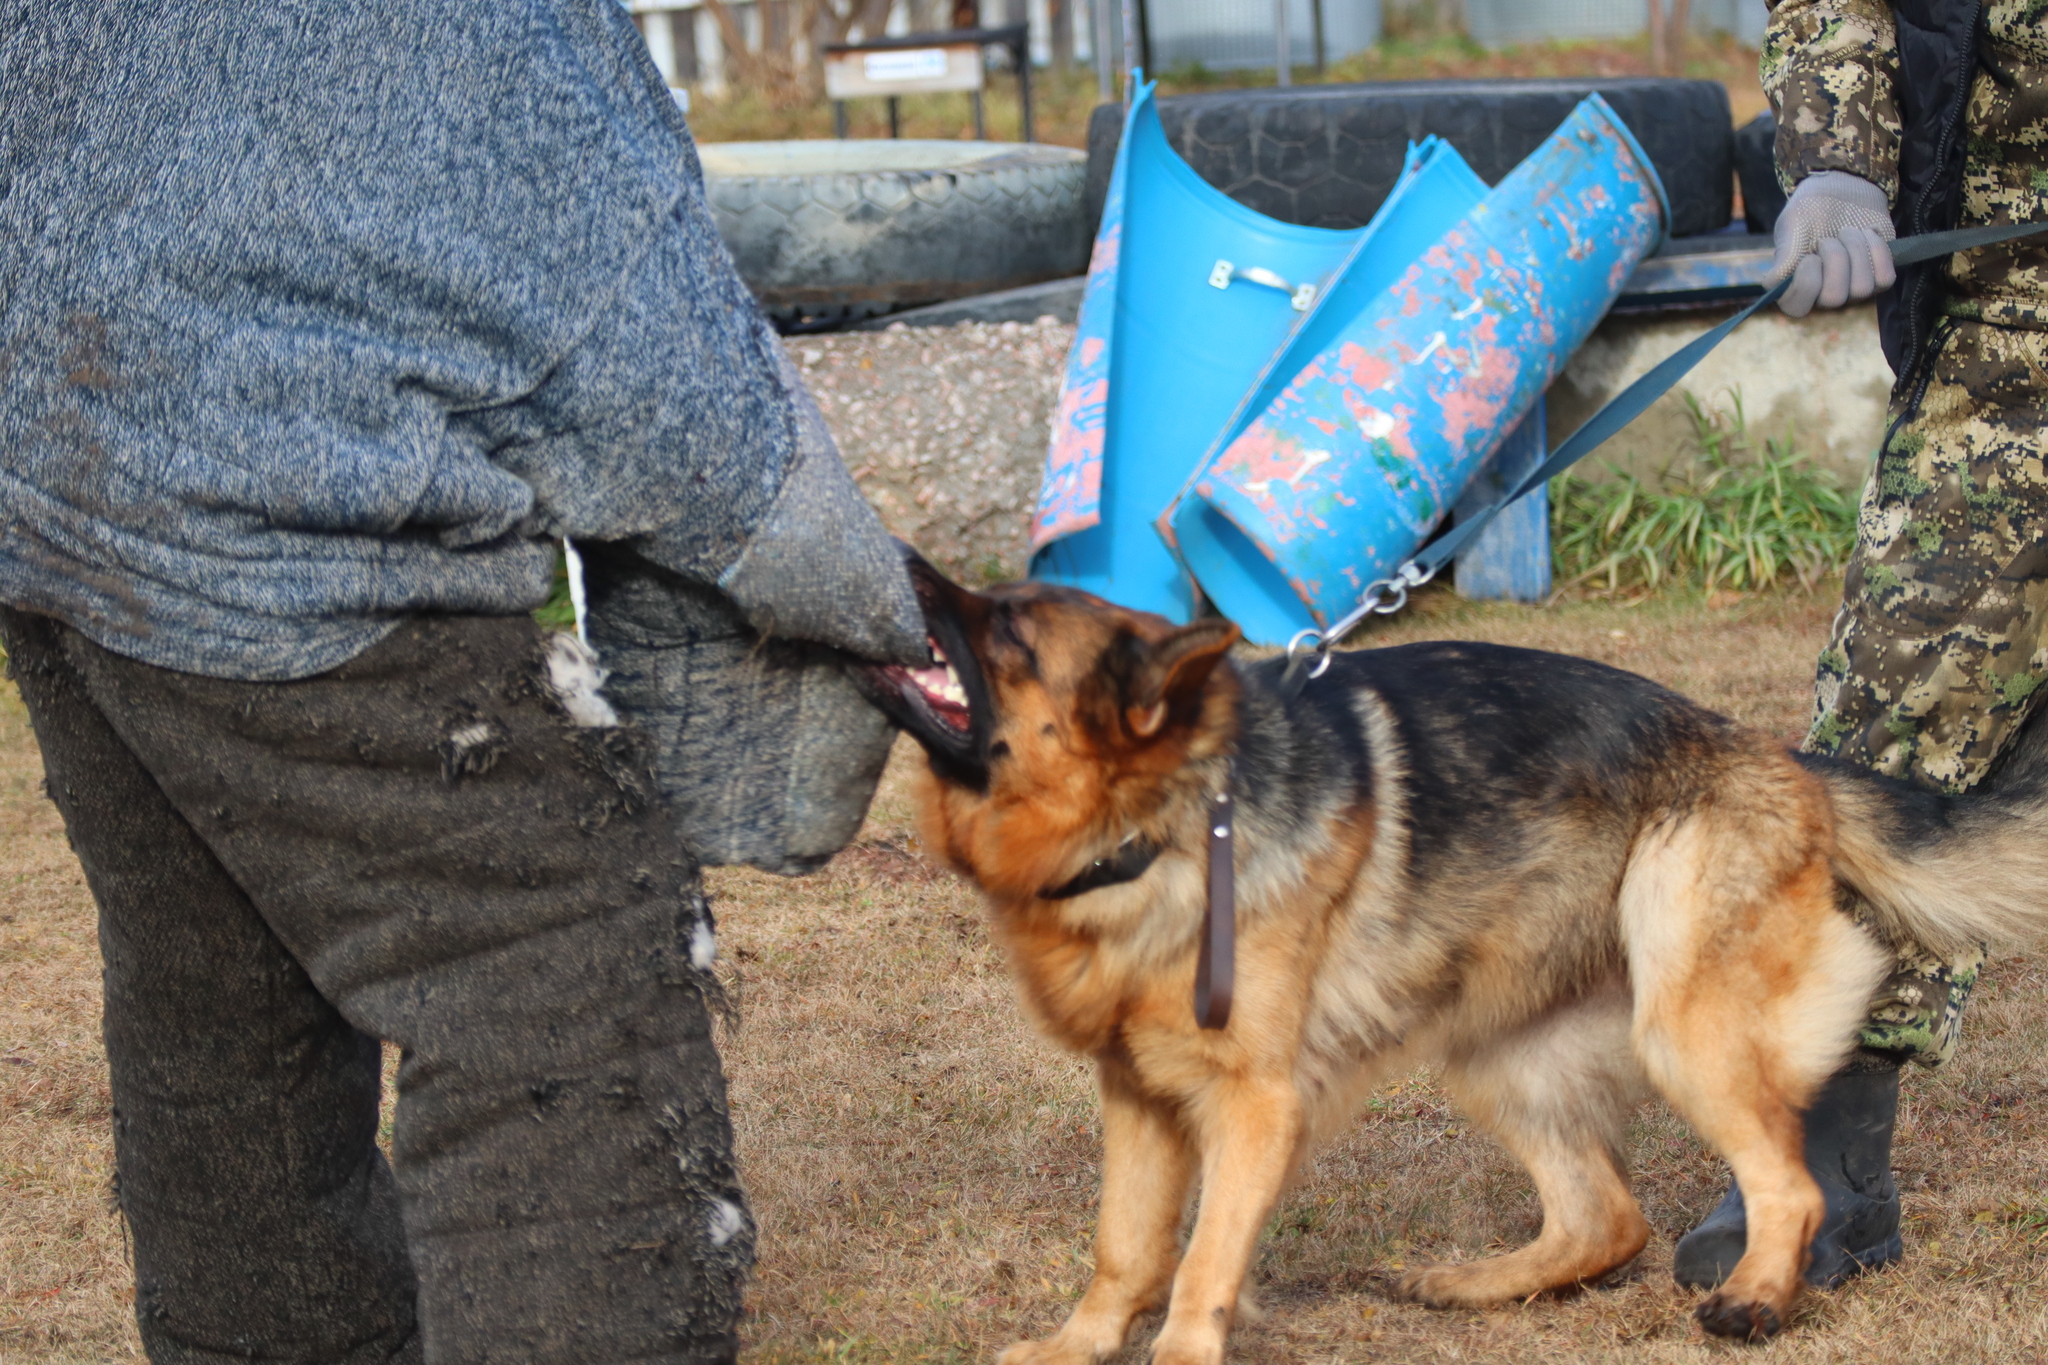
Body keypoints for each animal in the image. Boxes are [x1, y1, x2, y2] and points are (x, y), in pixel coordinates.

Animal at [856, 556, 2048, 1365]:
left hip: (1681, 1026)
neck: (1164, 819)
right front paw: (1079, 1344)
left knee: (1784, 1186)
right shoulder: (1137, 1094)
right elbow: (1125, 1244)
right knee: (1604, 1219)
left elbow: (1199, 1256)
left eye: (1009, 633)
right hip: (1493, 1053)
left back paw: (1756, 1295)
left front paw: (1182, 1350)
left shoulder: (1254, 1105)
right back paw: (1474, 1283)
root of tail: (1774, 756)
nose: (896, 559)